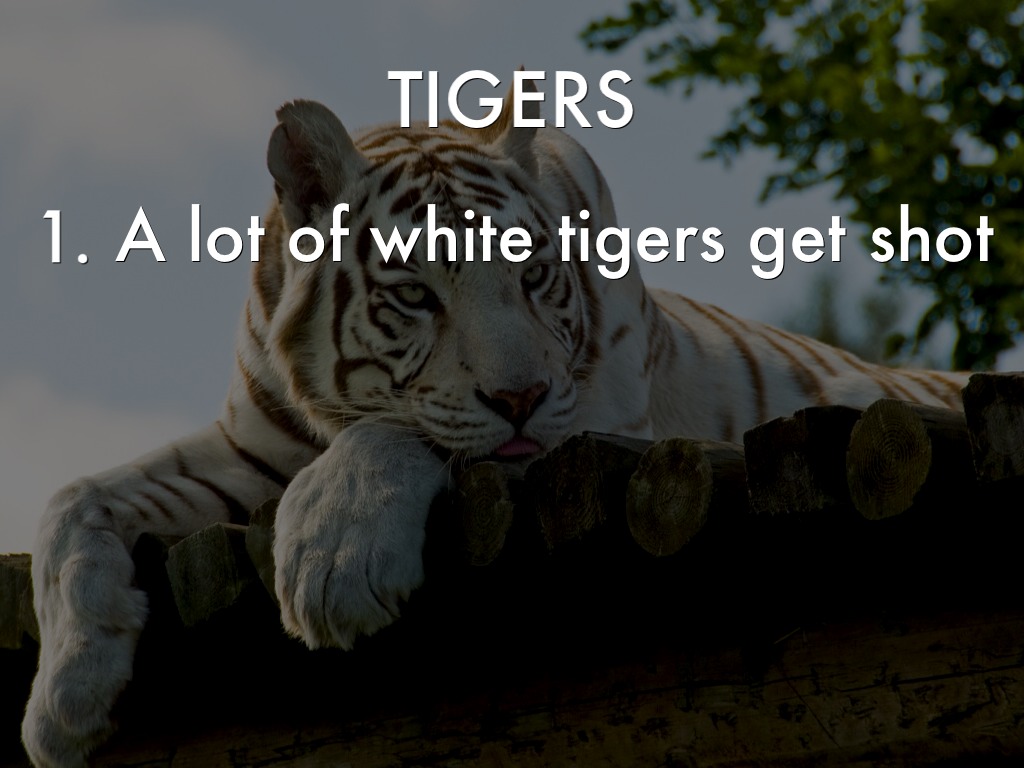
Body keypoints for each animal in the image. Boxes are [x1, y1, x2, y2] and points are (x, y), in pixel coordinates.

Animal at [21, 86, 968, 767]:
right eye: (415, 294)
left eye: (534, 275)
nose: (521, 396)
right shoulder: (249, 447)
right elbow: (73, 500)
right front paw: (65, 700)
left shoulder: (587, 420)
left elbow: (408, 431)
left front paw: (333, 564)